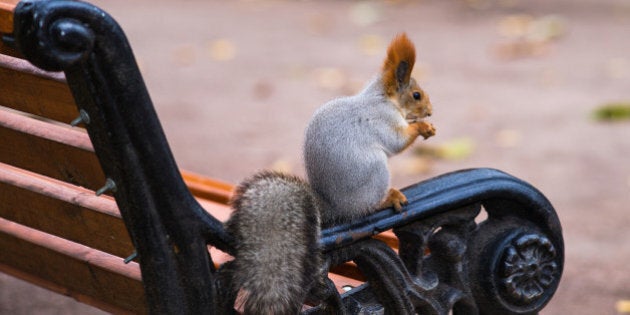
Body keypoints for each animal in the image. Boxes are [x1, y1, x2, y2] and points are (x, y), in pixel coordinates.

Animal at [225, 33, 436, 314]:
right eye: (416, 95)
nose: (430, 111)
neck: (382, 98)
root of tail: (333, 207)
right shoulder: (384, 120)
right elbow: (397, 142)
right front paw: (422, 127)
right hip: (376, 172)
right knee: (367, 207)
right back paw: (389, 197)